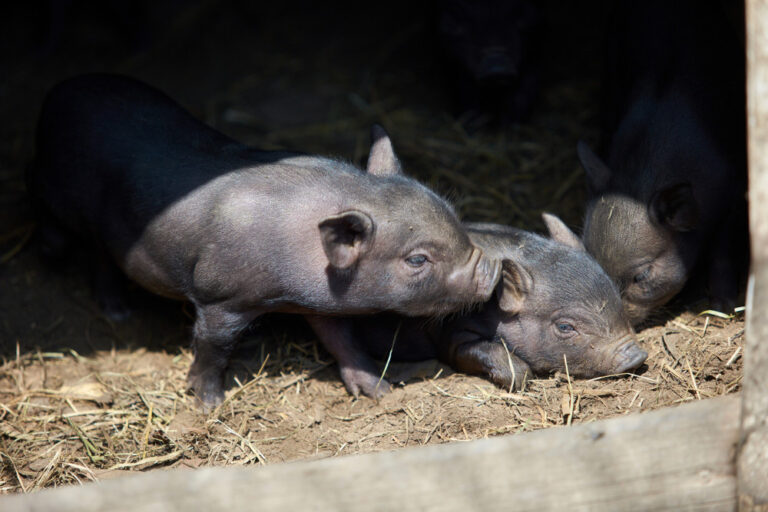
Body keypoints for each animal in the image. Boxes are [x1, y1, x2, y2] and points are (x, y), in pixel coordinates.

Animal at [27, 73, 500, 408]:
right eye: (417, 260)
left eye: (452, 212)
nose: (493, 267)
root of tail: (59, 91)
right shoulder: (219, 295)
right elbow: (214, 348)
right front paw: (209, 405)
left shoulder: (322, 305)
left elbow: (343, 340)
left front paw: (379, 393)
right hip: (58, 191)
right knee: (73, 237)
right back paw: (104, 300)